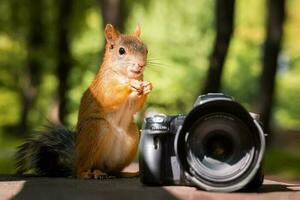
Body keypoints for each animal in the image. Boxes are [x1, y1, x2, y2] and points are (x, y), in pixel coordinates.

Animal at [14, 23, 151, 178]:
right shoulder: (102, 87)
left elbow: (135, 106)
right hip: (95, 130)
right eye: (121, 51)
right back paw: (87, 173)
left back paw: (127, 173)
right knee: (82, 168)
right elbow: (109, 96)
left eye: (146, 49)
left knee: (113, 170)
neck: (125, 76)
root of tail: (75, 160)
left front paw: (147, 86)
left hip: (132, 136)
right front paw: (130, 85)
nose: (141, 64)